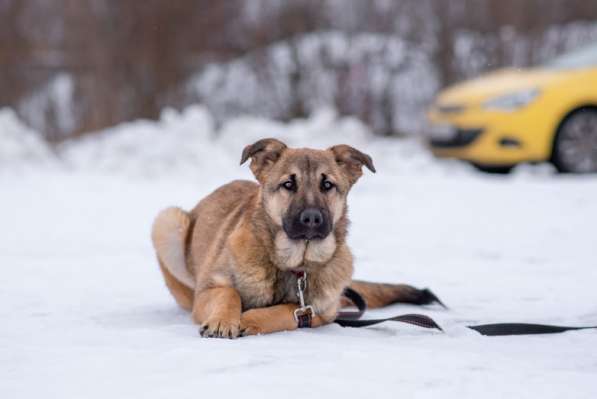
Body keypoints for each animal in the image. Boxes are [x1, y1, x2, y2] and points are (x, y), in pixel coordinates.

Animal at [151, 139, 430, 340]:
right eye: (288, 184)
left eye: (327, 185)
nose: (312, 219)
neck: (293, 266)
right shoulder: (206, 292)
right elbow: (229, 294)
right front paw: (223, 320)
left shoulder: (319, 313)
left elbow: (284, 311)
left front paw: (248, 319)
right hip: (167, 222)